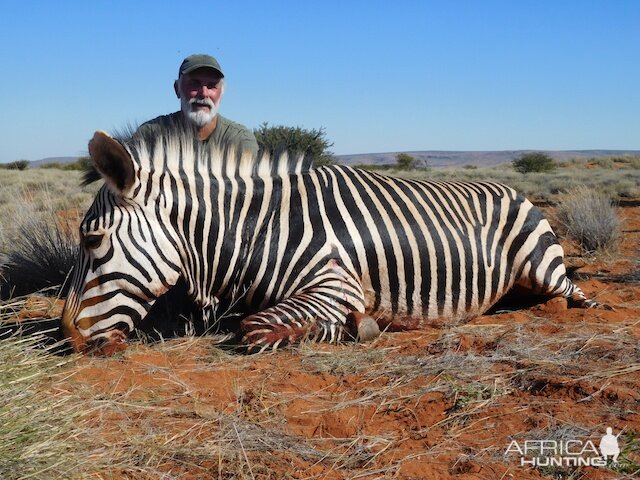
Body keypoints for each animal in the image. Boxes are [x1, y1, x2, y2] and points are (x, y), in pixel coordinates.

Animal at [60, 124, 600, 352]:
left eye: (91, 241)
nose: (68, 336)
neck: (260, 230)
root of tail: (513, 188)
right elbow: (249, 320)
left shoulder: (335, 284)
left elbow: (256, 328)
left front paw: (361, 327)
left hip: (542, 268)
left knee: (574, 294)